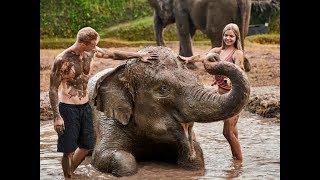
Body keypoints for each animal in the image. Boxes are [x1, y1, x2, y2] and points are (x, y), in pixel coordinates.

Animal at [87, 45, 250, 176]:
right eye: (163, 89)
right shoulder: (106, 119)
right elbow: (105, 157)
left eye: (196, 79)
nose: (212, 57)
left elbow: (196, 155)